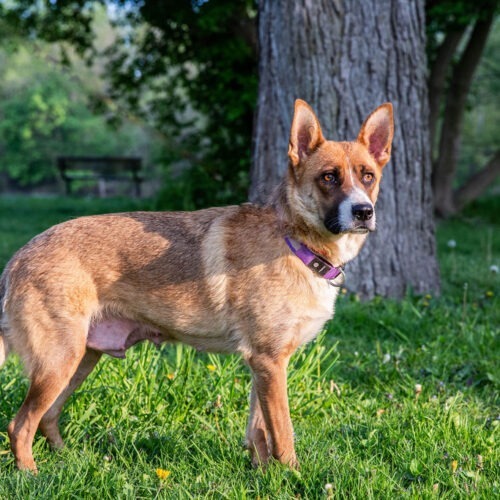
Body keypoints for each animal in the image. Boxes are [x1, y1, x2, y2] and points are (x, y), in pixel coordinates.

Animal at [0, 99, 394, 470]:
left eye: (368, 176)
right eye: (328, 177)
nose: (363, 212)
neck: (293, 240)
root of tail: (18, 257)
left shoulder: (263, 366)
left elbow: (258, 431)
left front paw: (262, 474)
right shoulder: (269, 362)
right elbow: (282, 435)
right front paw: (292, 477)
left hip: (81, 358)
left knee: (47, 418)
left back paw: (68, 461)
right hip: (58, 361)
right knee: (20, 425)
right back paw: (31, 474)